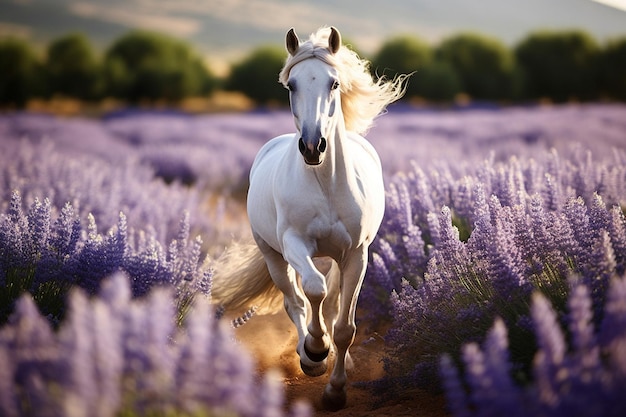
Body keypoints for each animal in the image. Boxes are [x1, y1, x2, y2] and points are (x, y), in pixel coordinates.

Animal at [212, 26, 408, 410]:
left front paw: (336, 389)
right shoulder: (294, 245)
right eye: (292, 85)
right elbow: (312, 292)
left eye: (334, 83)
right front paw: (315, 352)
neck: (326, 182)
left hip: (334, 258)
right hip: (274, 256)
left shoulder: (356, 255)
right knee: (296, 302)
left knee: (330, 305)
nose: (312, 146)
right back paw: (310, 354)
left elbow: (344, 326)